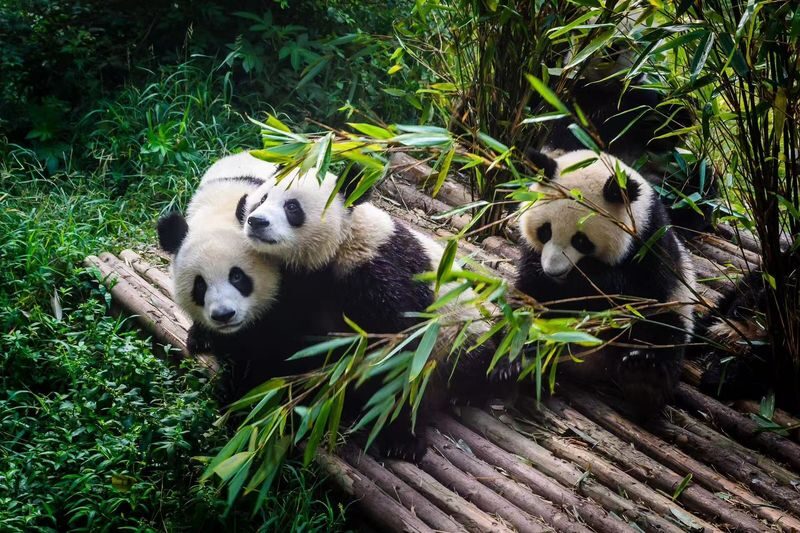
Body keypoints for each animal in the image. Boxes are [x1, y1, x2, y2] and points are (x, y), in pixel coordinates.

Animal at [236, 164, 508, 459]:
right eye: (262, 199)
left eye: (292, 207)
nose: (256, 221)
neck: (341, 245)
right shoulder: (301, 287)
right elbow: (284, 340)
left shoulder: (383, 271)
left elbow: (402, 354)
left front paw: (402, 441)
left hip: (464, 331)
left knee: (477, 361)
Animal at [515, 149, 697, 416]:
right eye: (545, 231)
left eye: (581, 241)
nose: (553, 270)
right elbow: (531, 287)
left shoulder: (651, 245)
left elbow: (633, 292)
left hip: (673, 310)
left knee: (663, 332)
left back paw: (644, 380)